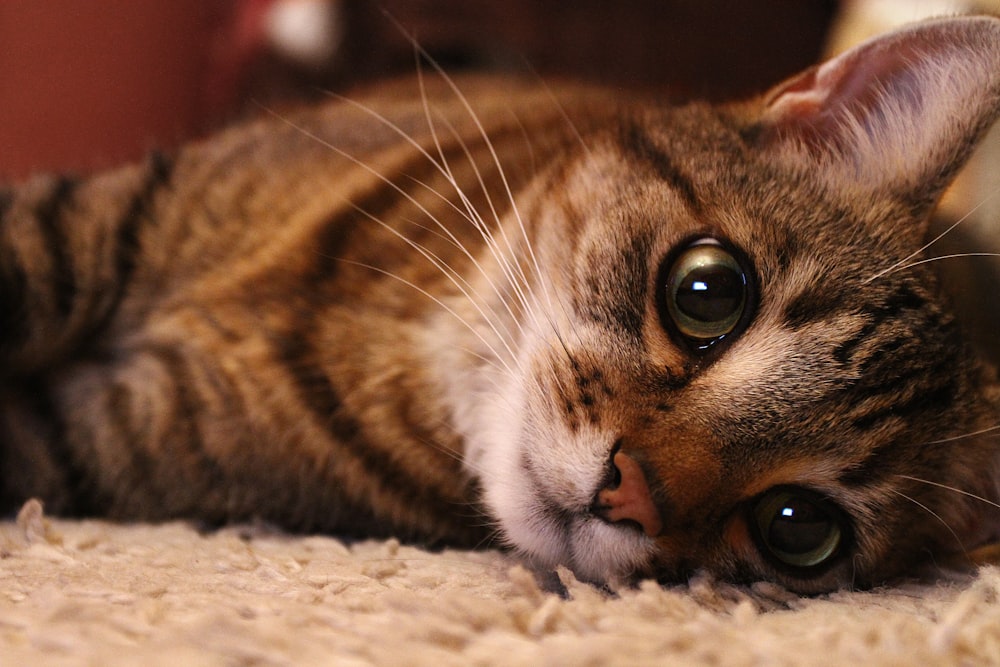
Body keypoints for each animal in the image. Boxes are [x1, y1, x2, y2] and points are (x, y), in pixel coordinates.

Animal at [1, 15, 1000, 596]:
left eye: (798, 527)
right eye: (708, 291)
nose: (628, 492)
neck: (389, 335)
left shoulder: (110, 436)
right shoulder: (108, 213)